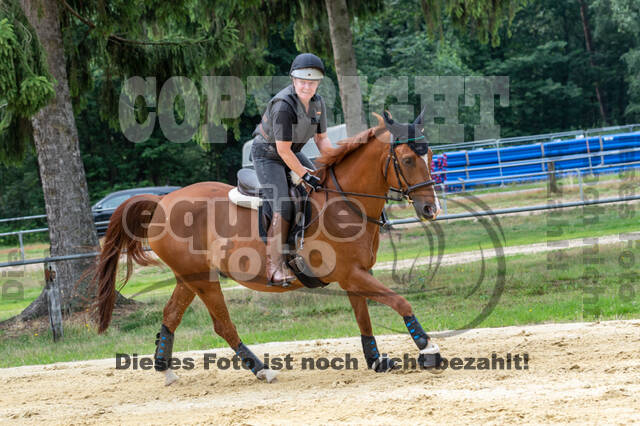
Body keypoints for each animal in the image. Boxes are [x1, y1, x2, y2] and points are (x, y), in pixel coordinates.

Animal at [94, 110, 440, 386]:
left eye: (429, 158)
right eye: (408, 160)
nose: (430, 209)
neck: (346, 202)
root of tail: (163, 200)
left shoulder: (355, 274)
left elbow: (363, 317)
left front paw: (376, 360)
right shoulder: (351, 273)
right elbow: (401, 301)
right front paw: (428, 349)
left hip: (190, 277)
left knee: (171, 315)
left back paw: (165, 370)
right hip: (202, 279)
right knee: (223, 325)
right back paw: (262, 369)